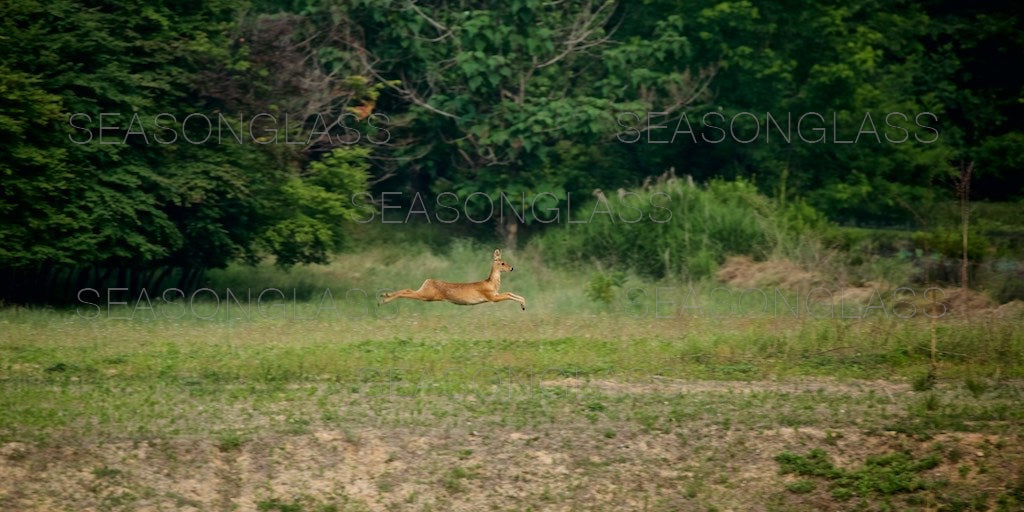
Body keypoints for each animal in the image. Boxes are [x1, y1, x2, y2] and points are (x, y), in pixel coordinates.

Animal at [382, 246, 532, 307]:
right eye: (502, 263)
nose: (512, 268)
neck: (491, 283)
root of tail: (428, 281)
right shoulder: (491, 297)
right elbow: (507, 294)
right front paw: (523, 304)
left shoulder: (494, 294)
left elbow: (509, 293)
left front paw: (523, 304)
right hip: (427, 295)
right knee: (407, 292)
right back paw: (384, 300)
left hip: (425, 293)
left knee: (407, 289)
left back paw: (384, 296)